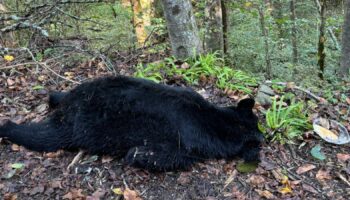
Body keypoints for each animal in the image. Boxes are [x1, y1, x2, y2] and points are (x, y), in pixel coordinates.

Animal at [0, 76, 262, 171]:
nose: (264, 136)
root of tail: (71, 104)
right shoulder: (186, 144)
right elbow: (168, 156)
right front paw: (135, 154)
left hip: (81, 91)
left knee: (57, 96)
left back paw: (53, 95)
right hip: (70, 127)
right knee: (40, 136)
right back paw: (6, 127)